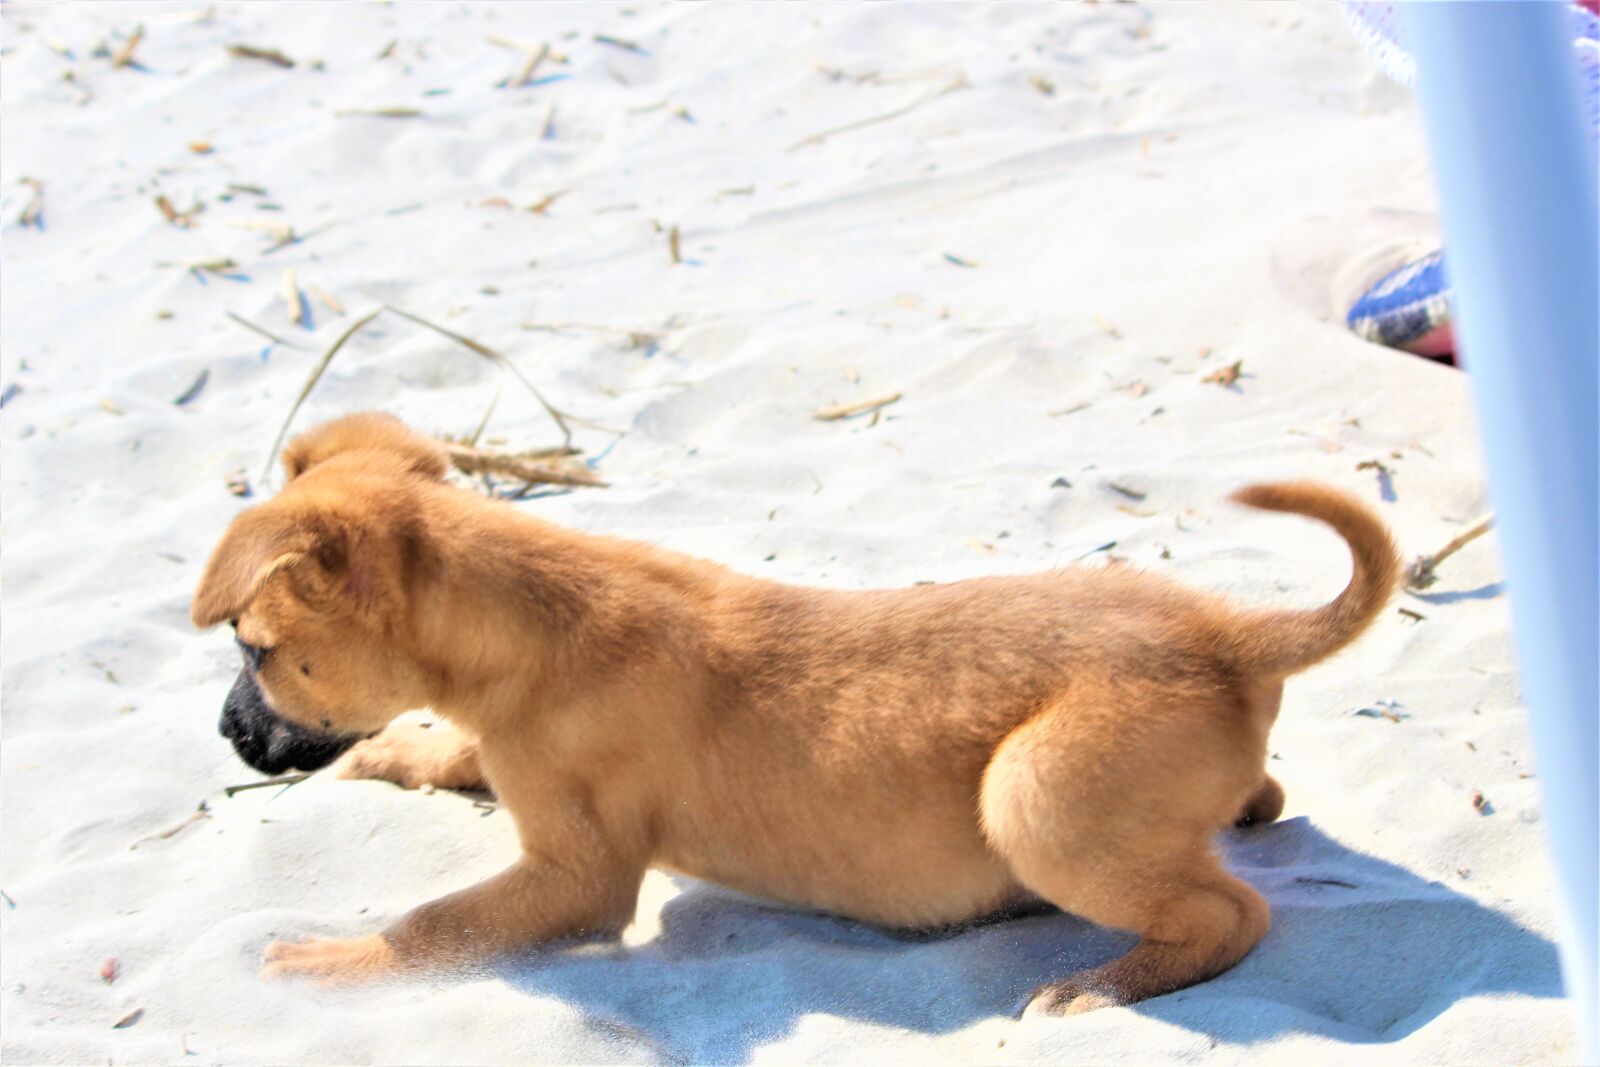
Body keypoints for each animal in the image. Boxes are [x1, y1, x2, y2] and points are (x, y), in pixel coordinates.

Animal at [190, 412, 1401, 1017]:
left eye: (256, 649)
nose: (228, 738)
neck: (525, 620)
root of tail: (1232, 635)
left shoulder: (577, 879)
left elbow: (434, 925)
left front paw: (329, 963)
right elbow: (453, 757)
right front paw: (399, 748)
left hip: (1035, 799)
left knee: (1231, 915)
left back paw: (1100, 984)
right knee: (1261, 800)